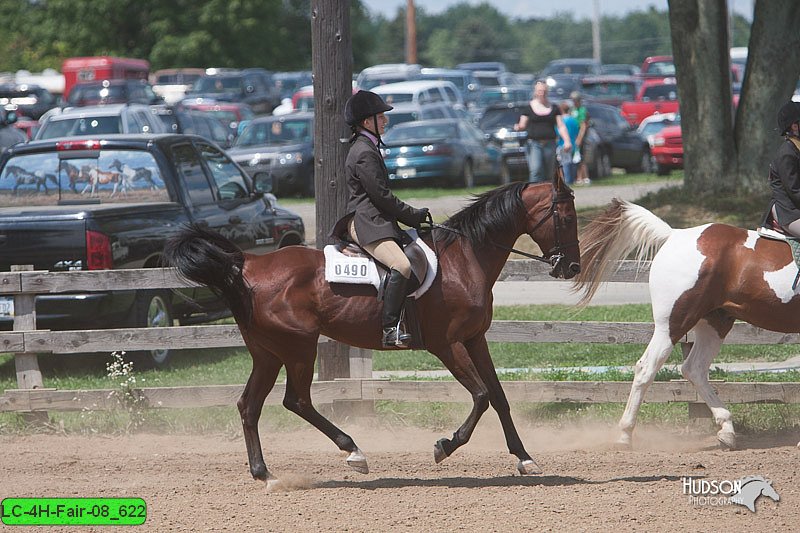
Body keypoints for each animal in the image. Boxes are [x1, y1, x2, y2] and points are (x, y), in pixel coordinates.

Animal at [167, 179, 580, 482]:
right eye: (566, 217)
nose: (572, 267)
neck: (465, 259)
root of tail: (248, 262)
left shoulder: (474, 340)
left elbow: (498, 397)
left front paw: (524, 458)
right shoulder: (448, 345)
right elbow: (480, 396)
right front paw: (444, 447)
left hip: (268, 353)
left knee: (250, 405)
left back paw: (265, 474)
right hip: (299, 348)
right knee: (296, 401)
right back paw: (353, 452)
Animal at [576, 198, 800, 448]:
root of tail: (674, 234)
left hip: (715, 323)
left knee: (695, 368)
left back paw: (726, 430)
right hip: (673, 324)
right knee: (647, 367)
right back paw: (625, 435)